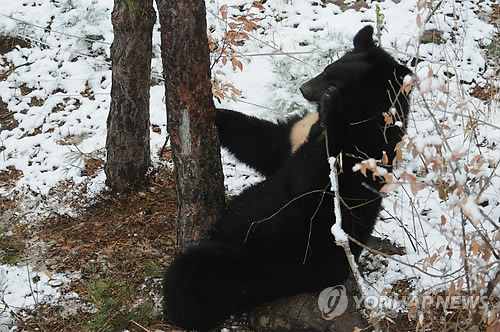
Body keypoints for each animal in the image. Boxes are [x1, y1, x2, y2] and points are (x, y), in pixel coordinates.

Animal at [162, 25, 412, 330]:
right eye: (327, 69)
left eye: (335, 81)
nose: (304, 88)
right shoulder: (296, 135)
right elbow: (266, 144)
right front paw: (215, 112)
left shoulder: (360, 154)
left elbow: (311, 182)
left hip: (268, 257)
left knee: (196, 273)